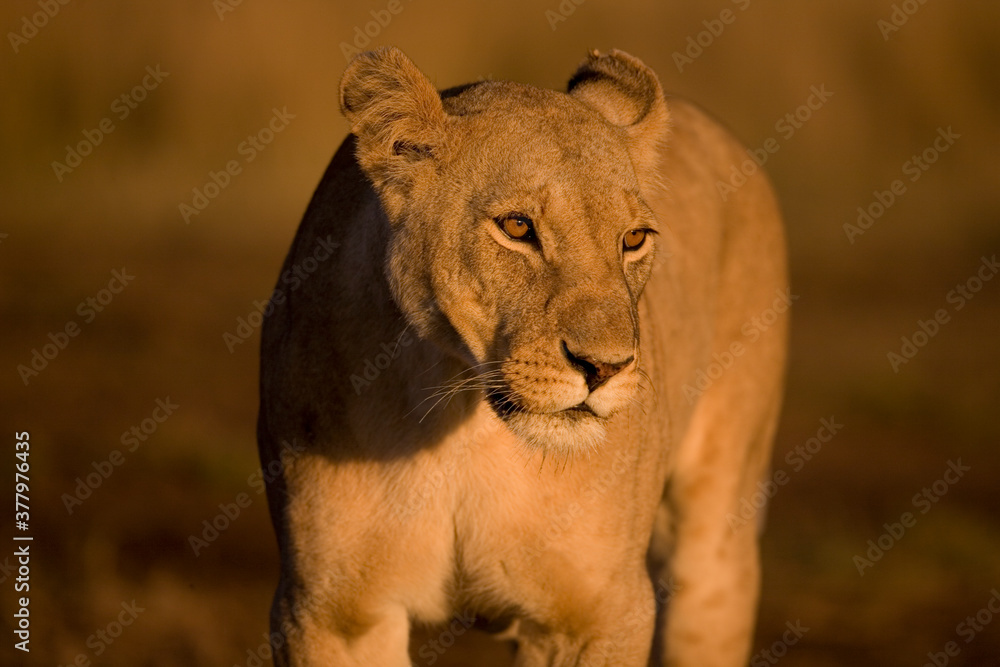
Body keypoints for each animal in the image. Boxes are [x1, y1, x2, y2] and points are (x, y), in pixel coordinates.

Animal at [257, 46, 788, 666]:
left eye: (633, 239)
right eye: (517, 227)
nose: (605, 368)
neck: (463, 430)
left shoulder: (601, 614)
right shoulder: (328, 613)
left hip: (714, 548)